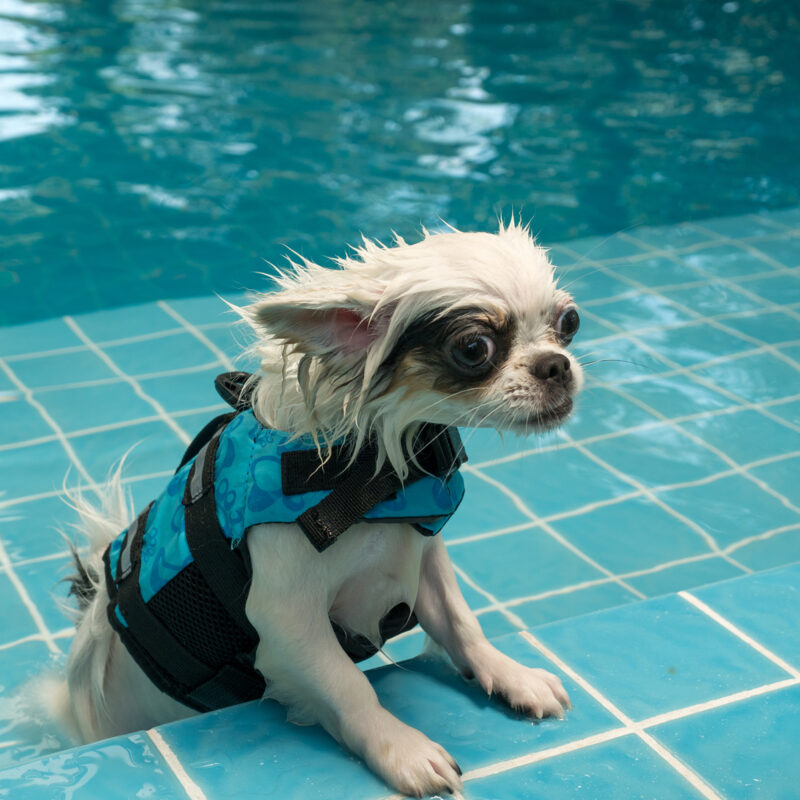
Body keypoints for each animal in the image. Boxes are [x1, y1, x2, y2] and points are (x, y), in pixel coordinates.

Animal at [54, 220, 580, 800]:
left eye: (569, 323)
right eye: (473, 347)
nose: (556, 365)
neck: (367, 476)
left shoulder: (423, 560)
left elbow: (461, 624)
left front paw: (510, 675)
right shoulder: (288, 620)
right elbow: (346, 685)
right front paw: (403, 748)